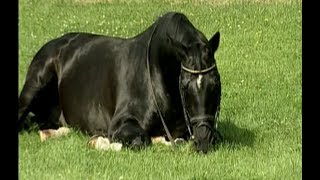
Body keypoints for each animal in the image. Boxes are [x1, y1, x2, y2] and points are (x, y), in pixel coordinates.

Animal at [18, 11, 221, 153]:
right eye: (185, 86)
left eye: (215, 83)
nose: (204, 141)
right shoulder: (121, 123)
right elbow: (140, 140)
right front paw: (100, 141)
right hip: (35, 85)